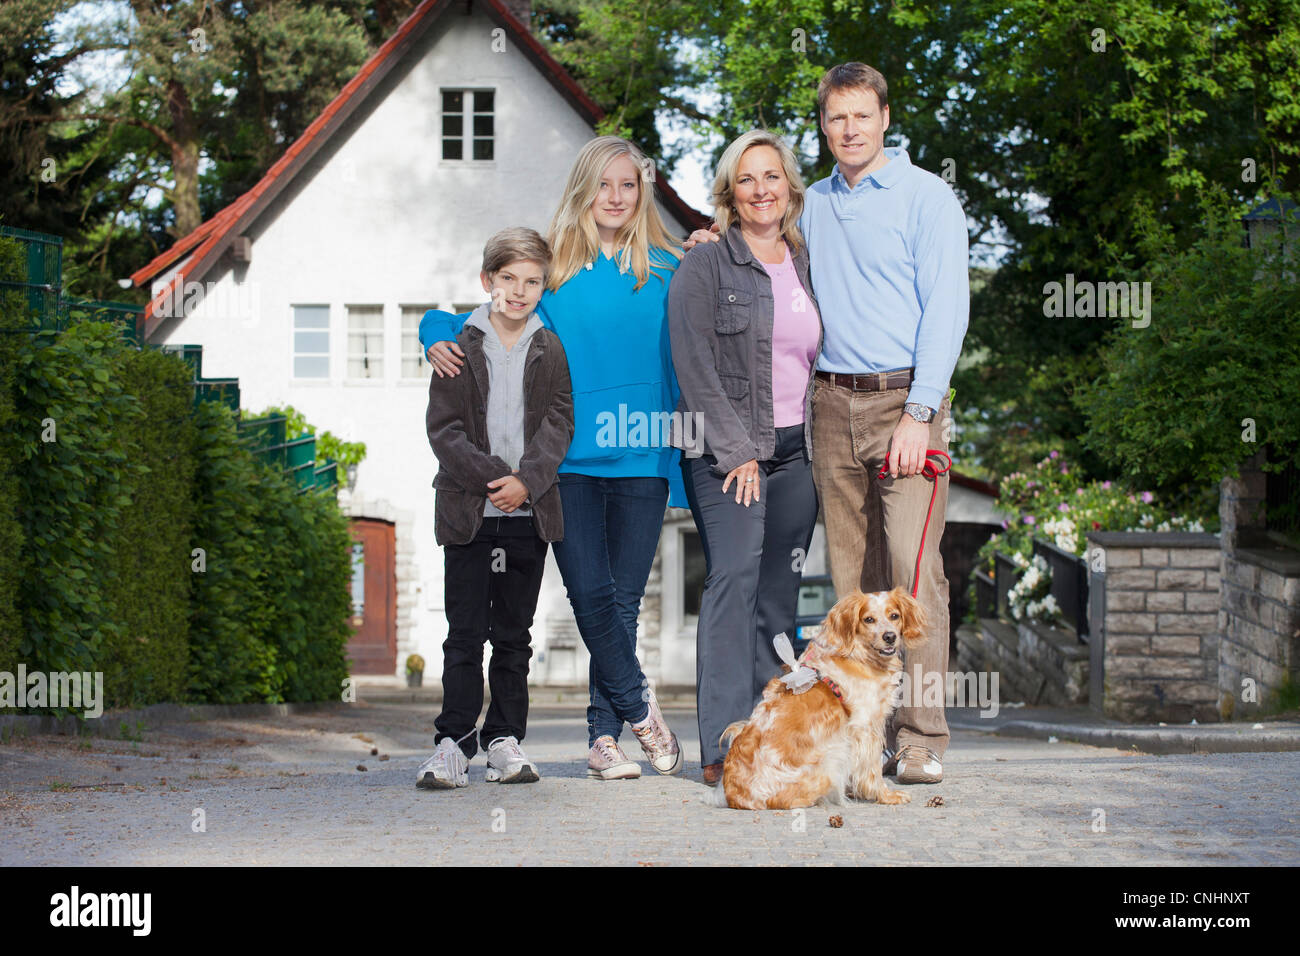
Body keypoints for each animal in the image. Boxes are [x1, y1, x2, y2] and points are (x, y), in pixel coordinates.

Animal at [712, 587, 925, 811]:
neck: (859, 655)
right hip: (830, 762)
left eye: (894, 616)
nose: (890, 637)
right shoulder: (865, 728)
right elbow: (872, 768)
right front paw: (885, 795)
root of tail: (735, 796)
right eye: (869, 619)